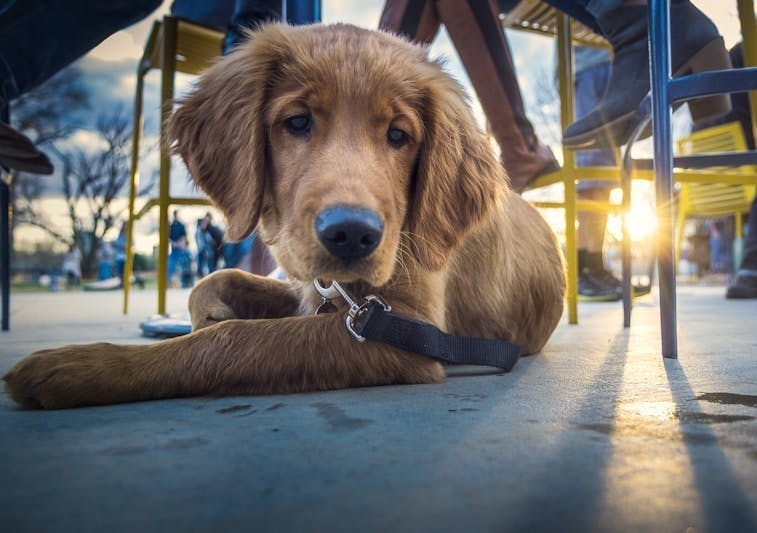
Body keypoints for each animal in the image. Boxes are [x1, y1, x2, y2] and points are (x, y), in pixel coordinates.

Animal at [4, 23, 560, 408]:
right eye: (297, 122)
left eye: (399, 136)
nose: (352, 235)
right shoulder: (315, 288)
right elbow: (215, 280)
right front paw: (210, 312)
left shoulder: (406, 327)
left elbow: (233, 342)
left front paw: (86, 365)